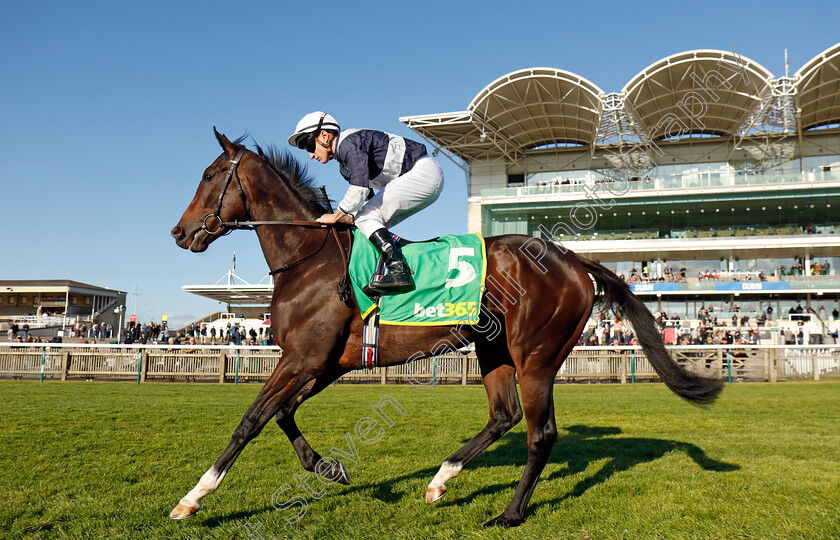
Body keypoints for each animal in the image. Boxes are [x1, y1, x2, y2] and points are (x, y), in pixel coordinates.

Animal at [171, 129, 720, 524]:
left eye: (209, 174)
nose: (179, 232)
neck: (310, 258)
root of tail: (572, 258)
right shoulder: (326, 362)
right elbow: (283, 414)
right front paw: (329, 467)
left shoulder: (303, 358)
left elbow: (251, 420)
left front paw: (193, 497)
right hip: (493, 349)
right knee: (504, 416)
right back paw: (440, 480)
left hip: (536, 356)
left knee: (540, 433)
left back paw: (509, 514)